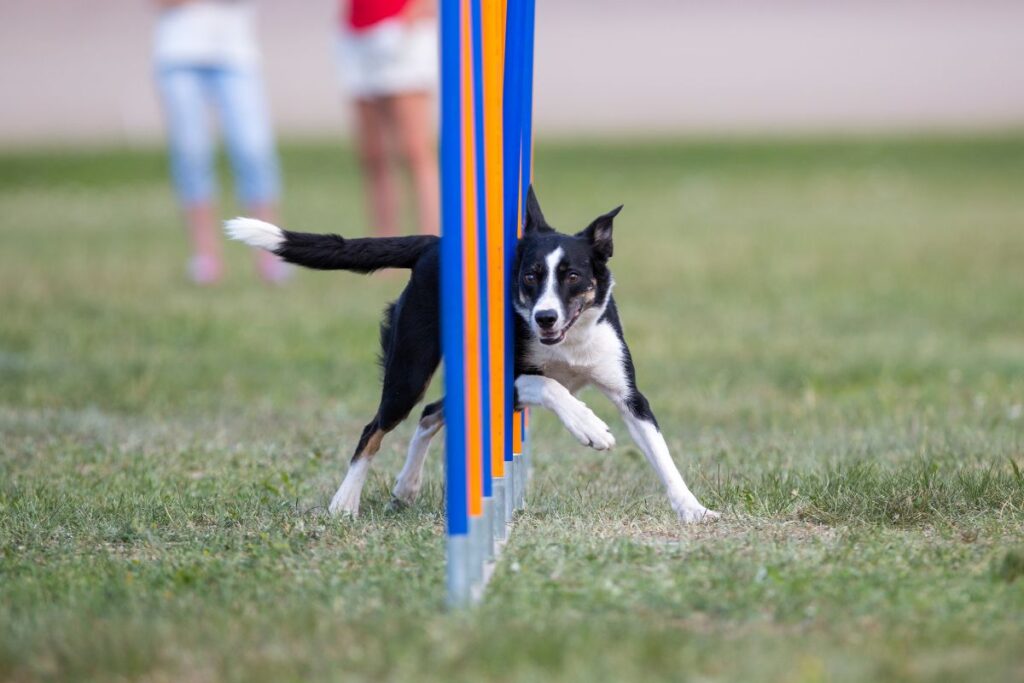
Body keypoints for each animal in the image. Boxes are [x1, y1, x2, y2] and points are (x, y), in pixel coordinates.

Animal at [227, 187, 716, 524]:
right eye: (530, 276)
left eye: (573, 276)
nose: (544, 317)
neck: (567, 344)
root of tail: (432, 244)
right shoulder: (509, 380)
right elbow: (548, 384)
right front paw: (589, 426)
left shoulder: (629, 393)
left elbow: (660, 452)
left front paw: (693, 509)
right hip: (410, 368)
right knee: (375, 428)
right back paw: (344, 502)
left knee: (429, 413)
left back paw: (406, 488)